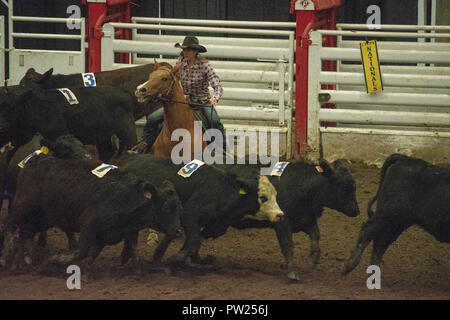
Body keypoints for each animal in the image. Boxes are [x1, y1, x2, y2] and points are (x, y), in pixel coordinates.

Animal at [230, 160, 360, 280]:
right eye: (344, 188)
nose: (356, 211)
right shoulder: (282, 222)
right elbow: (288, 245)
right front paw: (291, 273)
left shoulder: (306, 220)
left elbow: (315, 237)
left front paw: (311, 263)